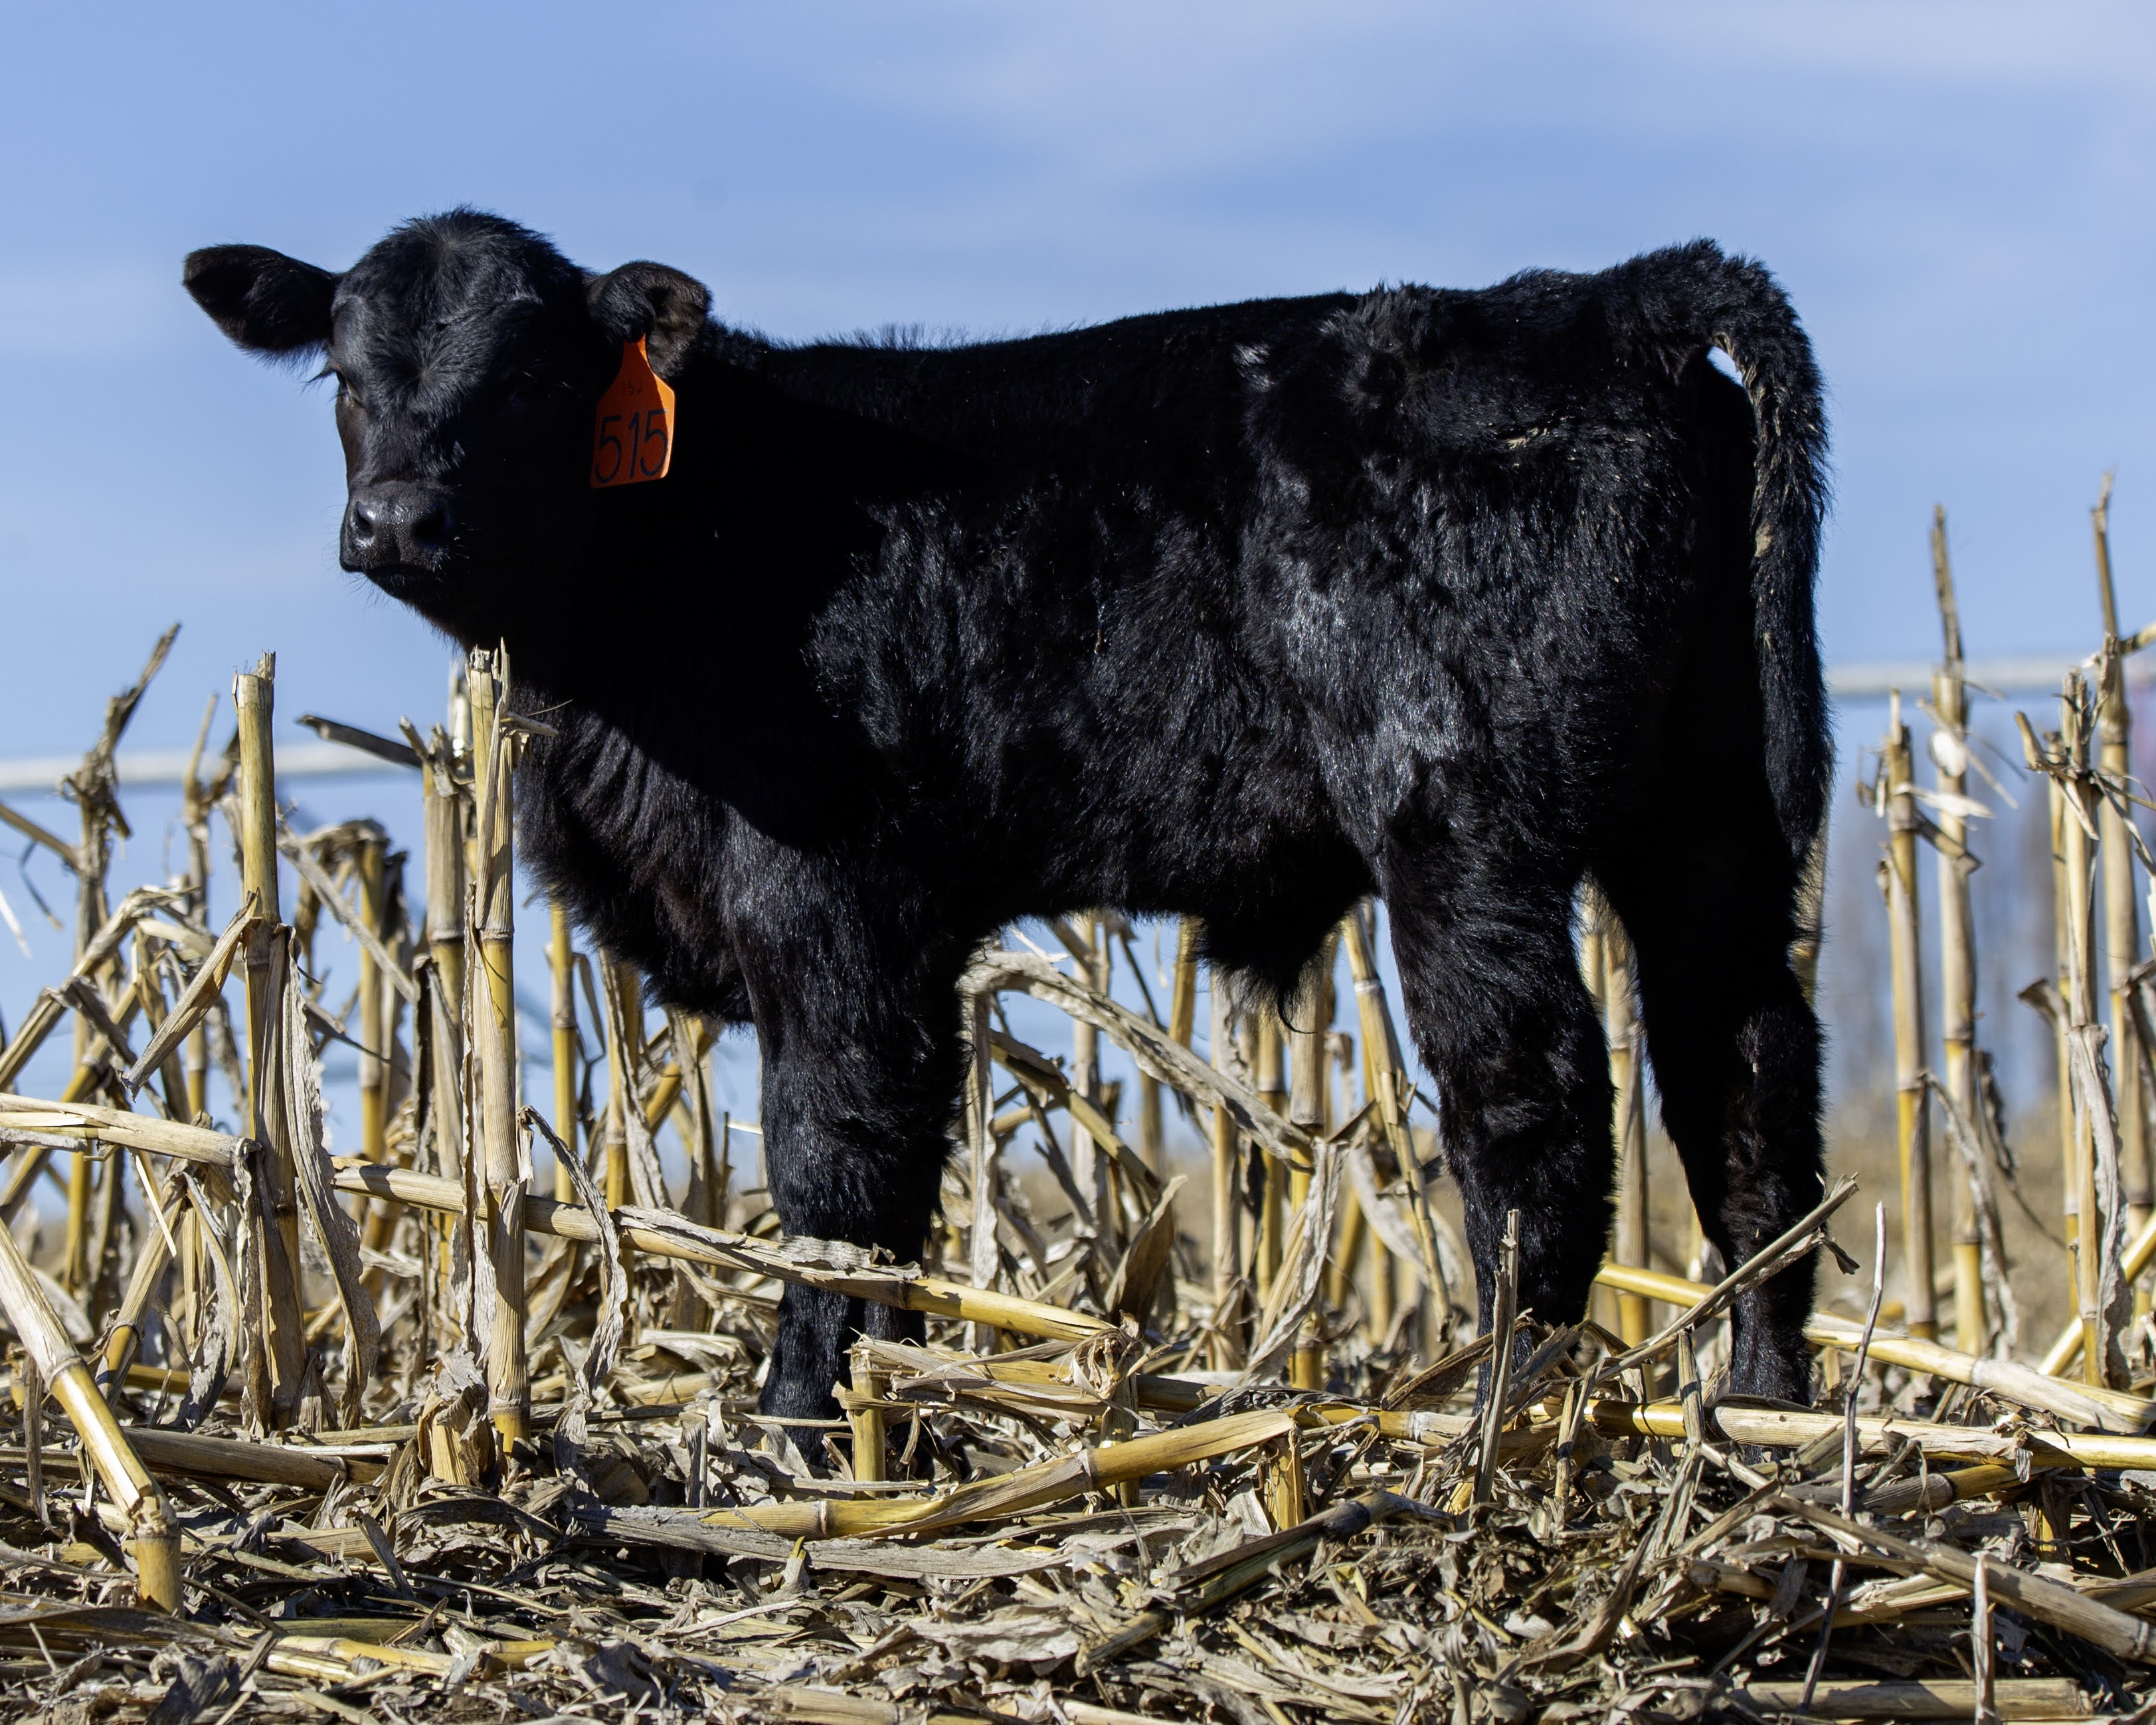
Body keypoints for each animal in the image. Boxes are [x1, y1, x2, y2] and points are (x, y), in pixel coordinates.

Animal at [185, 210, 1831, 1422]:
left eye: (530, 379)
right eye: (344, 375)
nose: (399, 519)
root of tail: (1598, 298)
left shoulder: (834, 903)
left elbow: (838, 1161)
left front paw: (801, 1416)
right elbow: (897, 1164)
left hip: (1464, 823)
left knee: (1536, 1100)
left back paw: (1501, 1408)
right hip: (1712, 820)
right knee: (1747, 1076)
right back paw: (1764, 1403)